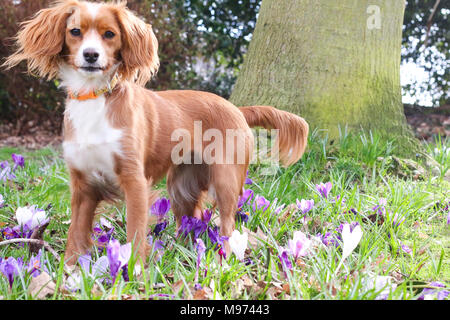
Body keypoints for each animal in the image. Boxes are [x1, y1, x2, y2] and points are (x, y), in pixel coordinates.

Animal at [4, 0, 310, 264]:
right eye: (75, 32)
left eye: (109, 34)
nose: (91, 55)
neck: (95, 97)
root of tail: (235, 108)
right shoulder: (82, 187)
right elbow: (75, 236)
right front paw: (67, 274)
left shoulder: (134, 181)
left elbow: (135, 233)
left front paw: (135, 272)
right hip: (181, 188)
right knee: (192, 221)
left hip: (225, 180)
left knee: (227, 225)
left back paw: (222, 259)